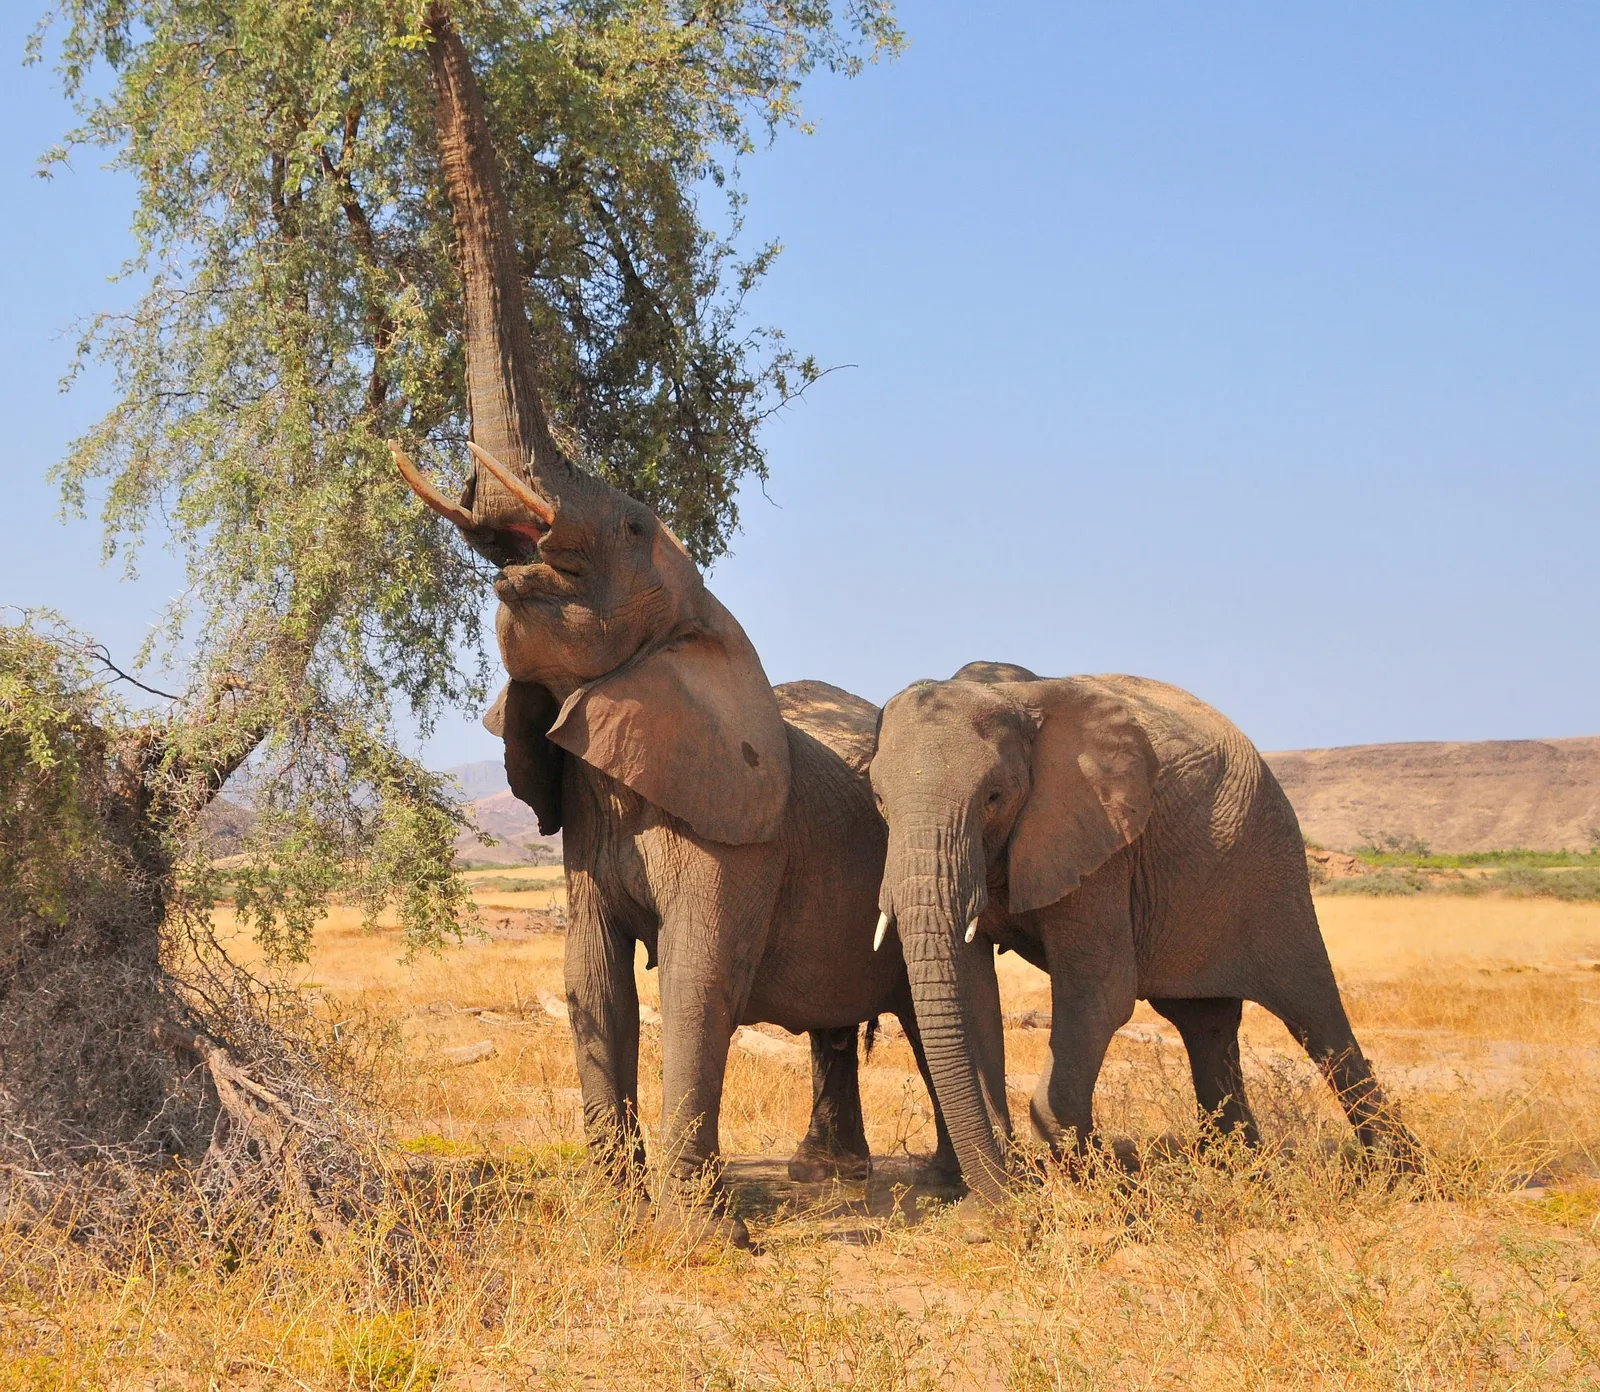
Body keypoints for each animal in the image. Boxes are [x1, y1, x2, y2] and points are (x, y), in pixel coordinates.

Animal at [868, 662, 1420, 1204]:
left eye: (993, 797)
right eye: (879, 801)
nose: (1004, 1205)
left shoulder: (1102, 840)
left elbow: (1102, 994)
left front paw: (1102, 1192)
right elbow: (974, 993)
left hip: (1269, 861)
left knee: (1316, 1017)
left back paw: (1404, 1179)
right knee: (1206, 1024)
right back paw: (1244, 1172)